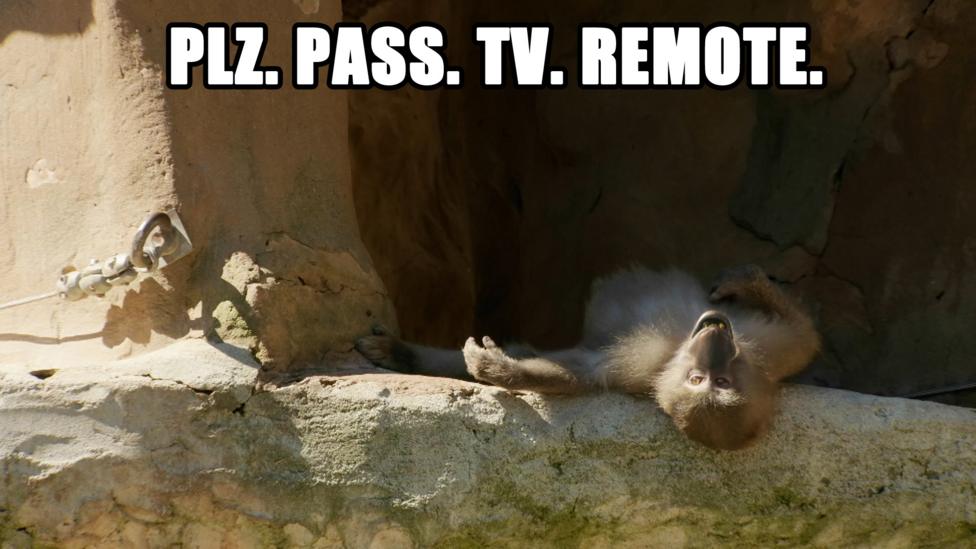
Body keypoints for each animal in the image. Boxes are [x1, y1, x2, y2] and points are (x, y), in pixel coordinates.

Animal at [355, 265, 820, 450]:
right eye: (702, 380)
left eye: (716, 382)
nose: (718, 342)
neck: (676, 349)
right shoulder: (774, 358)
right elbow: (804, 336)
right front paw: (746, 280)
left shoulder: (639, 370)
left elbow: (580, 371)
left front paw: (496, 367)